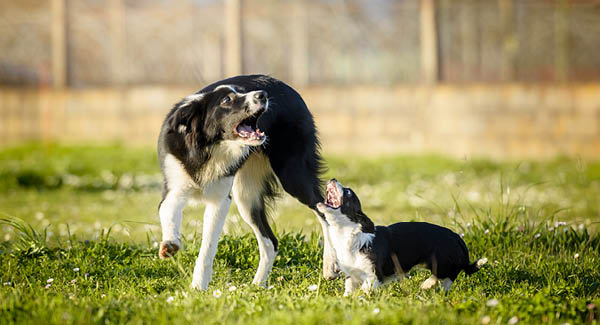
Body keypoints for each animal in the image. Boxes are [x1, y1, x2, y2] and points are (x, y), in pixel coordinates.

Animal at [157, 74, 338, 288]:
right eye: (227, 100)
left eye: (241, 92)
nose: (263, 95)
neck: (207, 148)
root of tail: (289, 88)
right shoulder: (174, 186)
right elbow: (168, 211)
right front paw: (170, 245)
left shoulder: (220, 201)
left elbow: (208, 246)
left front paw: (198, 286)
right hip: (246, 196)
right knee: (271, 242)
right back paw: (257, 285)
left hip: (293, 175)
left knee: (322, 209)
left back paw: (329, 266)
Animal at [316, 178, 486, 294]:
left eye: (348, 192)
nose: (332, 179)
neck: (347, 233)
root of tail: (457, 237)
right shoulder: (351, 276)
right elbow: (348, 291)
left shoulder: (374, 275)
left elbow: (365, 290)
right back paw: (427, 285)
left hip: (441, 262)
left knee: (449, 276)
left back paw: (431, 286)